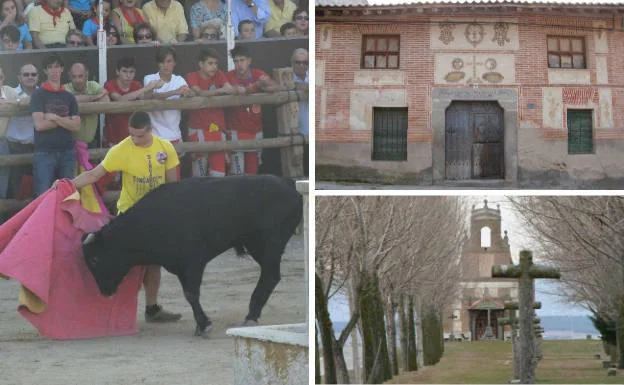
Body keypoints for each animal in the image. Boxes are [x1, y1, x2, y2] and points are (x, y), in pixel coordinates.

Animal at [81, 176, 304, 334]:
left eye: (95, 259)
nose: (105, 292)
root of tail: (289, 185)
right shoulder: (179, 266)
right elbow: (189, 294)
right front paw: (201, 324)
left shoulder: (193, 262)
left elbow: (190, 293)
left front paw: (203, 325)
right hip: (258, 246)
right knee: (270, 275)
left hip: (270, 243)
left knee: (270, 275)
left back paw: (251, 315)